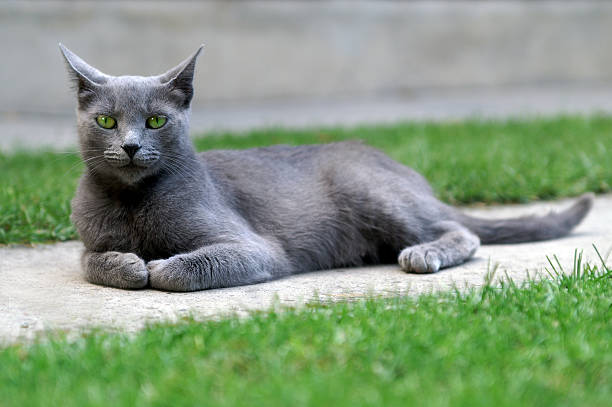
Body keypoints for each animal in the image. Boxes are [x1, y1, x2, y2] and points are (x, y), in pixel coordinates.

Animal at [59, 44, 596, 292]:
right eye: (107, 121)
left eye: (156, 120)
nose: (130, 146)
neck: (133, 202)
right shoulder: (91, 240)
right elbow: (91, 260)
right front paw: (129, 264)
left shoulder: (254, 248)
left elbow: (186, 267)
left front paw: (158, 266)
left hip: (369, 192)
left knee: (461, 231)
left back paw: (422, 253)